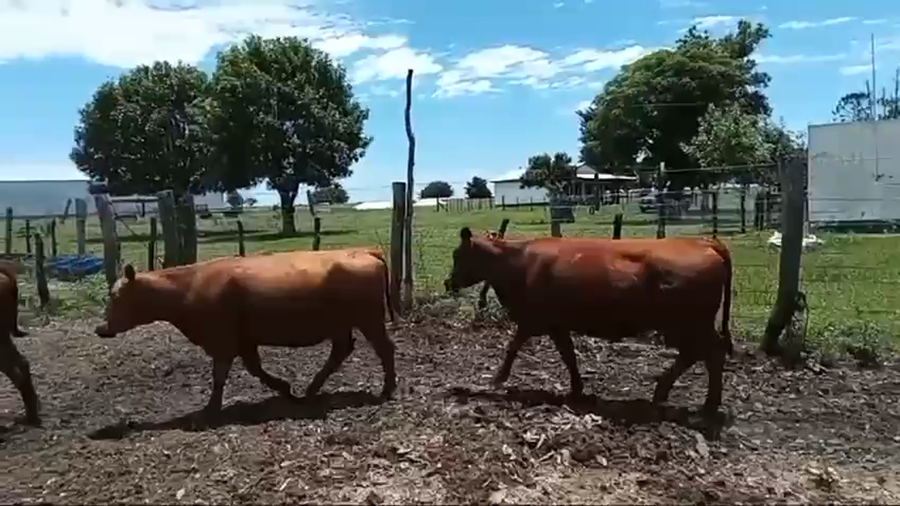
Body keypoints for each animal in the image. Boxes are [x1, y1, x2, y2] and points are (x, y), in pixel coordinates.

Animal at [94, 248, 398, 420]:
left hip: (369, 320)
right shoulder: (244, 340)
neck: (188, 287)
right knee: (342, 350)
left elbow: (219, 375)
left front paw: (211, 409)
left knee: (384, 348)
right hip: (341, 324)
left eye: (116, 296)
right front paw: (284, 389)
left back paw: (386, 390)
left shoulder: (222, 340)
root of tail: (365, 252)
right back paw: (310, 391)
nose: (101, 328)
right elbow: (254, 368)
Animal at [444, 227, 734, 415]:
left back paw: (707, 404)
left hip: (690, 323)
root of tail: (704, 242)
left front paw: (496, 379)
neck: (520, 262)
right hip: (685, 325)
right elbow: (568, 355)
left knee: (710, 352)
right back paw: (665, 393)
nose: (448, 282)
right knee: (696, 353)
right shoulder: (556, 324)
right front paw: (576, 390)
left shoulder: (532, 319)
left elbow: (513, 347)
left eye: (458, 255)